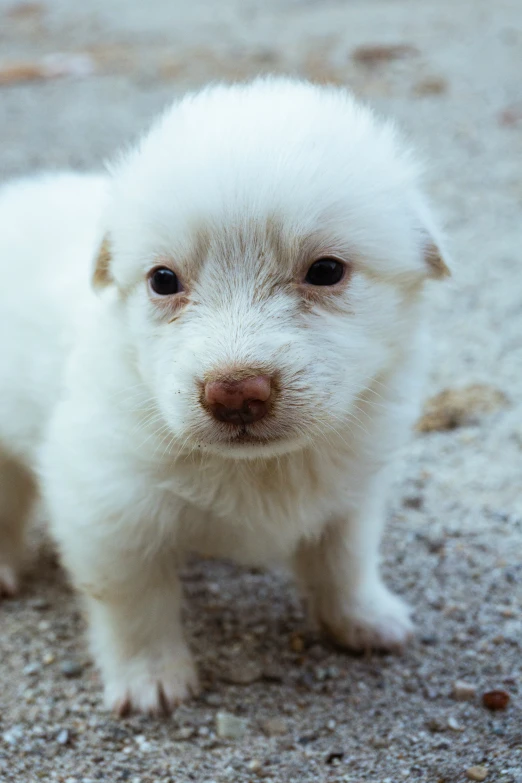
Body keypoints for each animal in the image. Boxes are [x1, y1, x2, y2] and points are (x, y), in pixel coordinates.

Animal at [0, 76, 446, 712]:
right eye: (163, 280)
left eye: (326, 270)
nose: (235, 394)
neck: (257, 469)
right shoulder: (107, 506)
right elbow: (134, 601)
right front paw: (150, 677)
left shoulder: (352, 488)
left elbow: (344, 558)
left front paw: (363, 618)